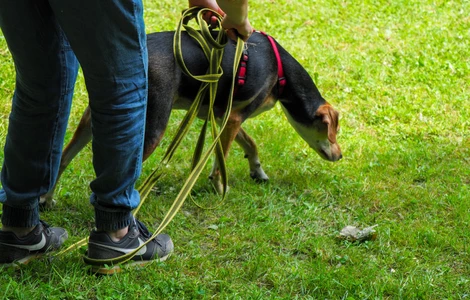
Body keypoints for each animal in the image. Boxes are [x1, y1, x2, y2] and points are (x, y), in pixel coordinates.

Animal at [40, 31, 342, 209]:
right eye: (333, 131)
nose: (340, 156)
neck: (280, 72)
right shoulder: (233, 118)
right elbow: (222, 161)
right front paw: (220, 188)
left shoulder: (225, 117)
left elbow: (251, 145)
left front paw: (257, 171)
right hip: (153, 126)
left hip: (91, 119)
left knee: (62, 158)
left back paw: (46, 199)